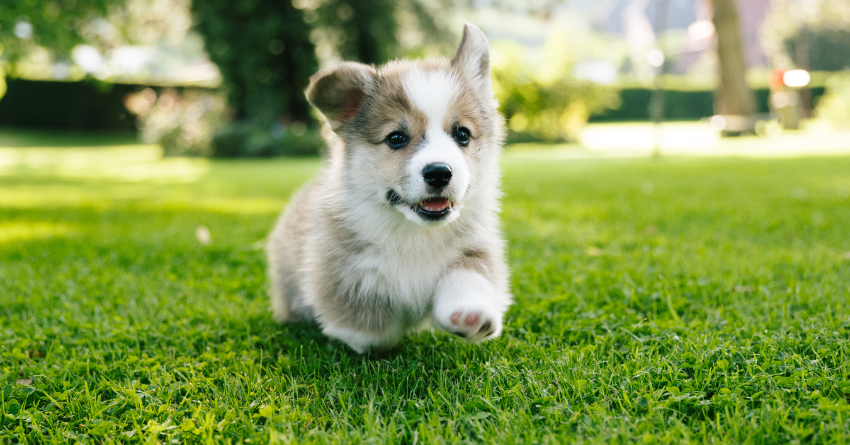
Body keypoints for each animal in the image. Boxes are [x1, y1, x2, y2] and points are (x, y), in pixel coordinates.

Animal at [264, 22, 510, 352]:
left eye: (462, 134)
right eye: (396, 138)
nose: (439, 172)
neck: (413, 233)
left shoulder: (475, 247)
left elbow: (468, 276)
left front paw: (469, 314)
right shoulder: (340, 272)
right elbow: (375, 333)